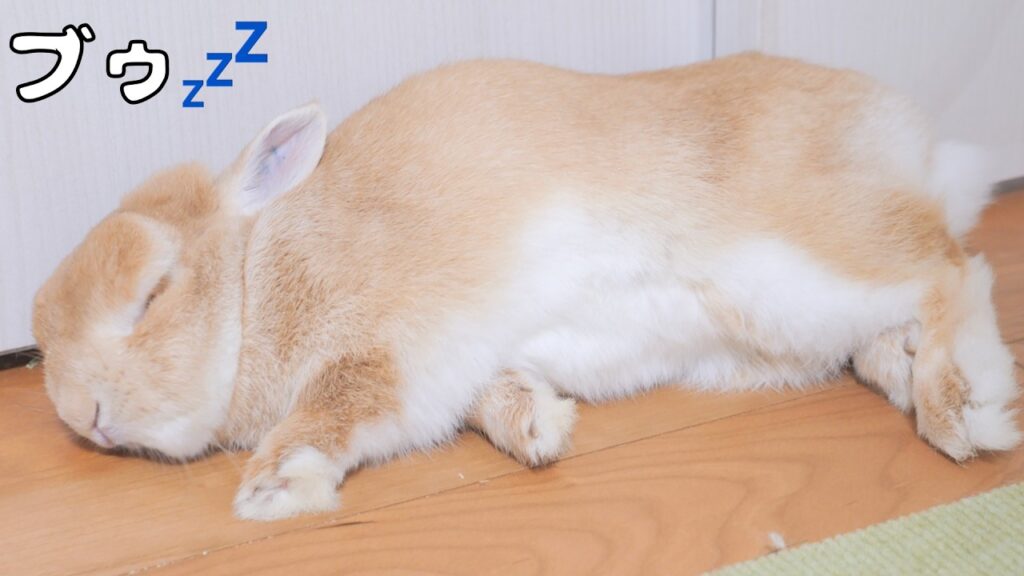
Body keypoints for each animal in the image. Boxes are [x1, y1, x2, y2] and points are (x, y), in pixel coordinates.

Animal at [32, 53, 1020, 521]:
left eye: (151, 294)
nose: (82, 415)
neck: (257, 280)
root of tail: (913, 140)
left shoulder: (385, 350)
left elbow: (338, 406)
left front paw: (273, 492)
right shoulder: (467, 366)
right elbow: (495, 397)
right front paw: (543, 428)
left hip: (799, 258)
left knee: (951, 270)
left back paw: (965, 410)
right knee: (898, 321)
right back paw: (931, 387)